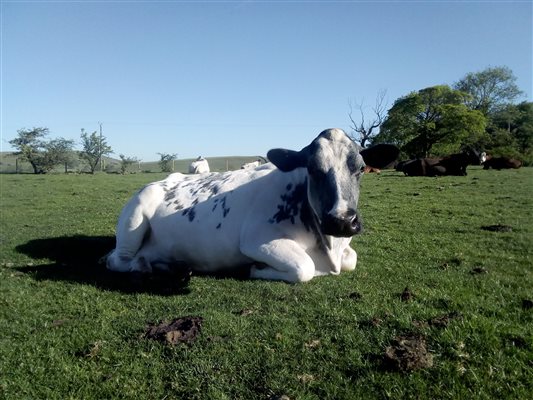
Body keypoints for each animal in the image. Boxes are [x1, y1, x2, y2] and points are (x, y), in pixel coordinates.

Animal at [105, 127, 394, 282]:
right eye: (312, 169)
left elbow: (351, 260)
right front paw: (255, 268)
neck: (330, 247)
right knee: (116, 260)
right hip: (134, 219)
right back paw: (142, 267)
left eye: (361, 169)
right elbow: (304, 268)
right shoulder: (258, 241)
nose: (342, 220)